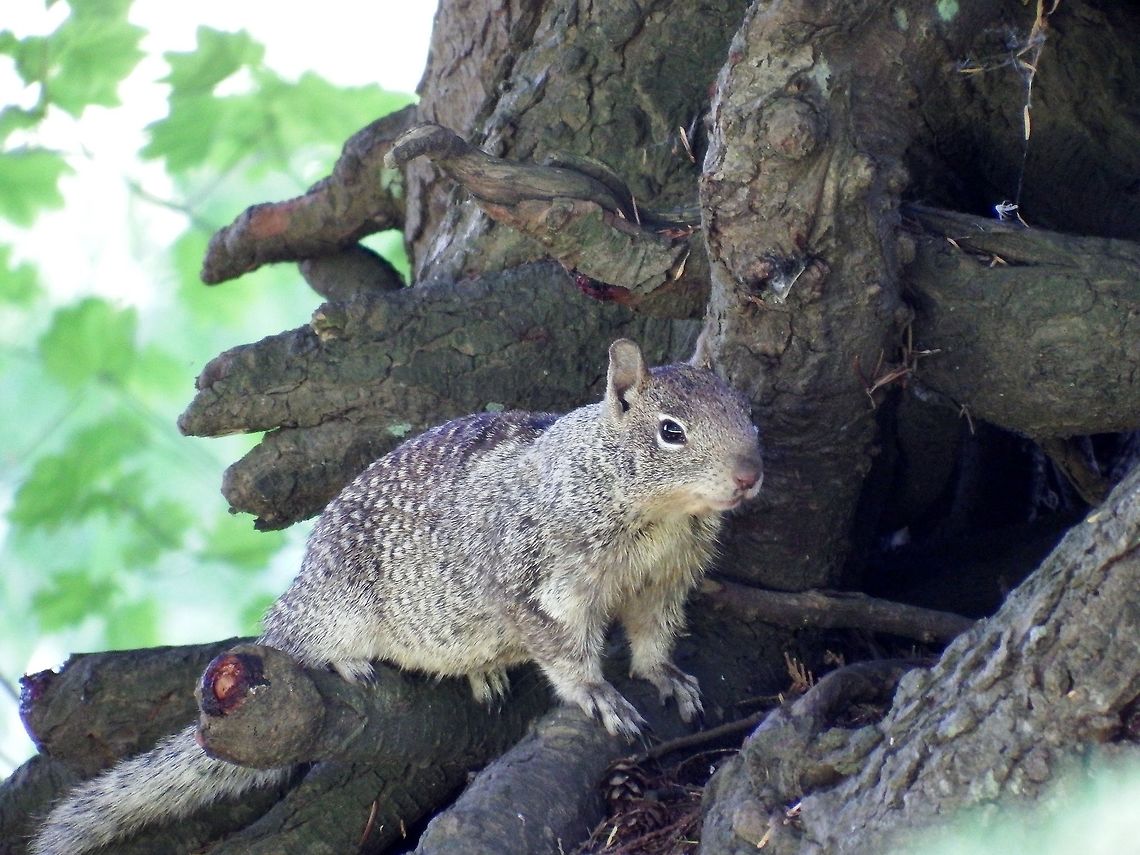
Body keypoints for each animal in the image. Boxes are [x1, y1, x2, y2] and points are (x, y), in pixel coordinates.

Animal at [30, 338, 763, 854]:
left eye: (747, 411)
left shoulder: (664, 581)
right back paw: (347, 660)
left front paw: (665, 676)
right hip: (330, 609)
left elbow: (653, 633)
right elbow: (562, 650)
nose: (750, 474)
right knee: (305, 640)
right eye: (671, 430)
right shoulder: (530, 578)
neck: (657, 515)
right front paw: (597, 695)